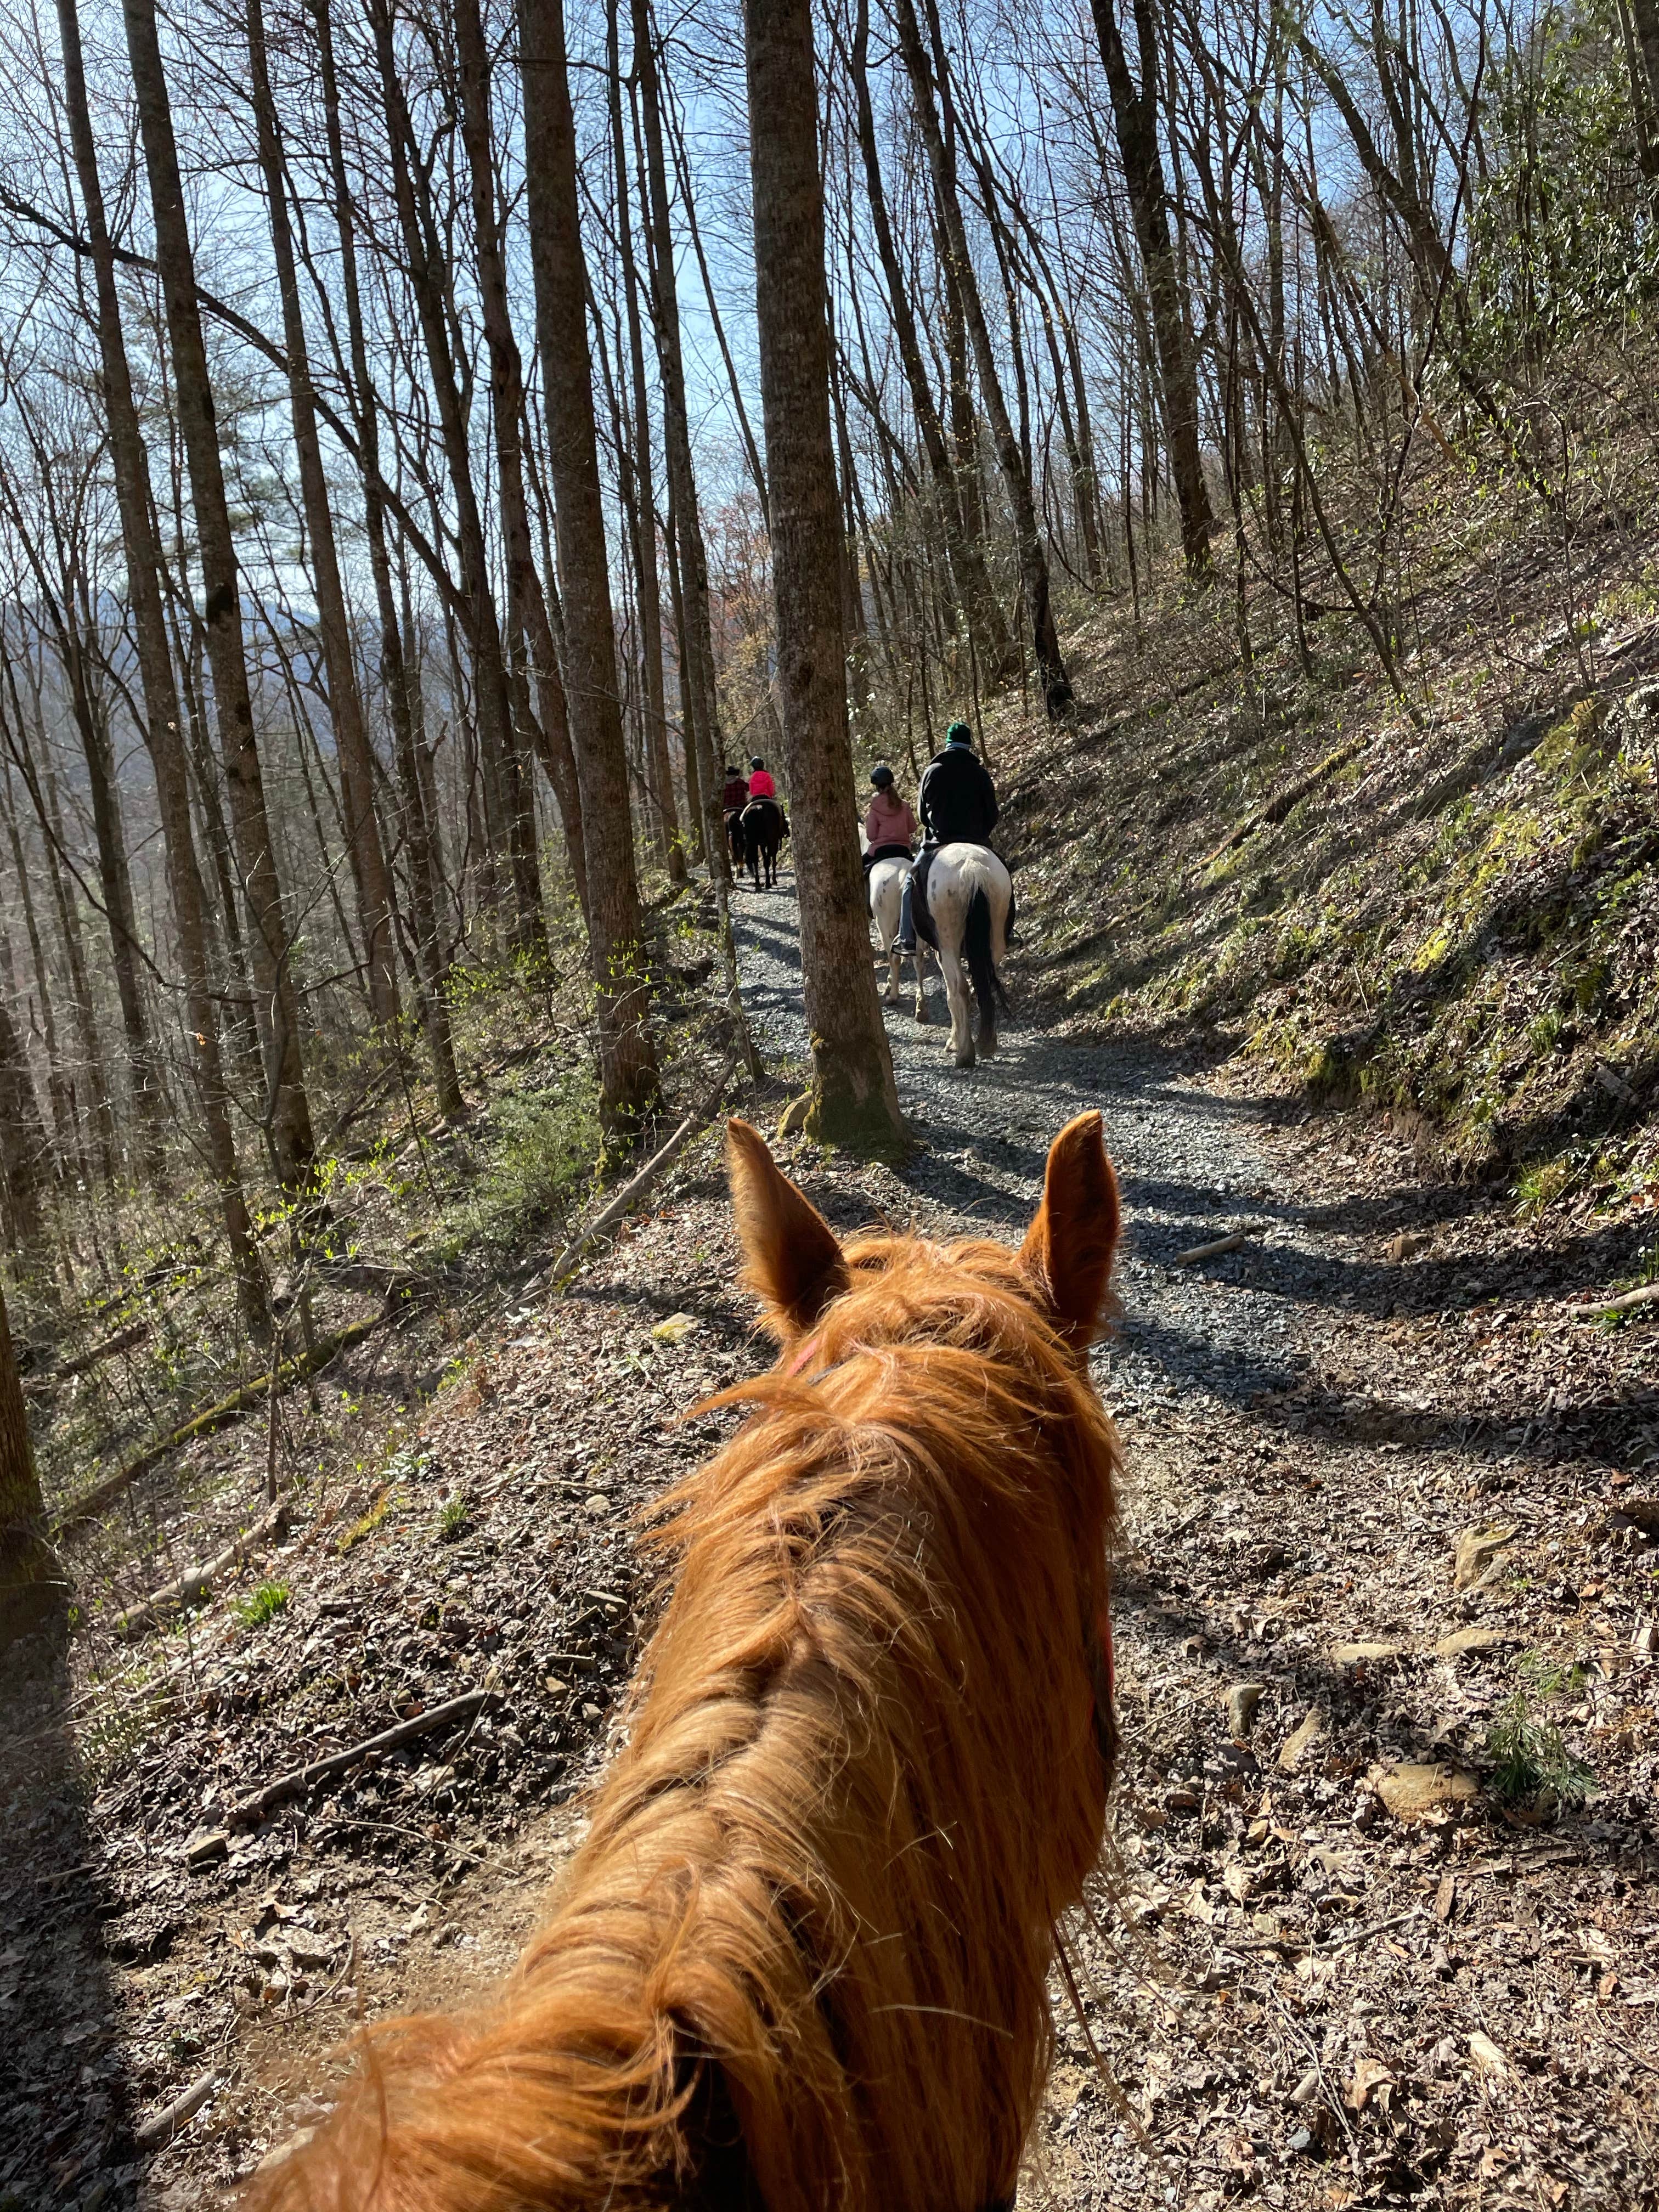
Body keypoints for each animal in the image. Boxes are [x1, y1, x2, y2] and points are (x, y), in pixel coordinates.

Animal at [740, 797, 786, 889]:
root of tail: (758, 809)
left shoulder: (762, 844)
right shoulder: (773, 842)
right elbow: (773, 861)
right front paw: (774, 880)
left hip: (753, 843)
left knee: (755, 860)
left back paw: (758, 882)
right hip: (770, 841)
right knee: (767, 861)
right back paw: (768, 883)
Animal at [867, 852, 933, 1020]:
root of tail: (903, 874)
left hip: (885, 922)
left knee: (894, 958)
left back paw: (893, 997)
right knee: (919, 961)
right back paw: (921, 1008)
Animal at [917, 841, 1014, 1070]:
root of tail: (973, 870)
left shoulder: (940, 952)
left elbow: (951, 995)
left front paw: (953, 1041)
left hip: (948, 943)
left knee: (959, 988)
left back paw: (965, 1054)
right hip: (994, 938)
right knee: (984, 983)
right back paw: (987, 1043)